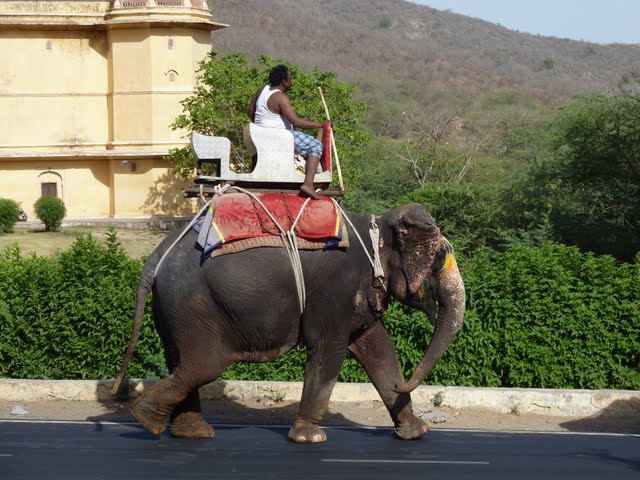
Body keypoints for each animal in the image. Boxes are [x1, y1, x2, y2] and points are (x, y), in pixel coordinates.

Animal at [112, 200, 464, 442]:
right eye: (438, 262)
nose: (401, 385)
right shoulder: (334, 291)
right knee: (203, 366)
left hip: (172, 310)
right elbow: (329, 350)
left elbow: (378, 348)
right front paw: (311, 438)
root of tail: (155, 257)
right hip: (192, 306)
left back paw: (190, 433)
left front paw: (416, 433)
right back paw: (146, 420)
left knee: (181, 362)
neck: (377, 226)